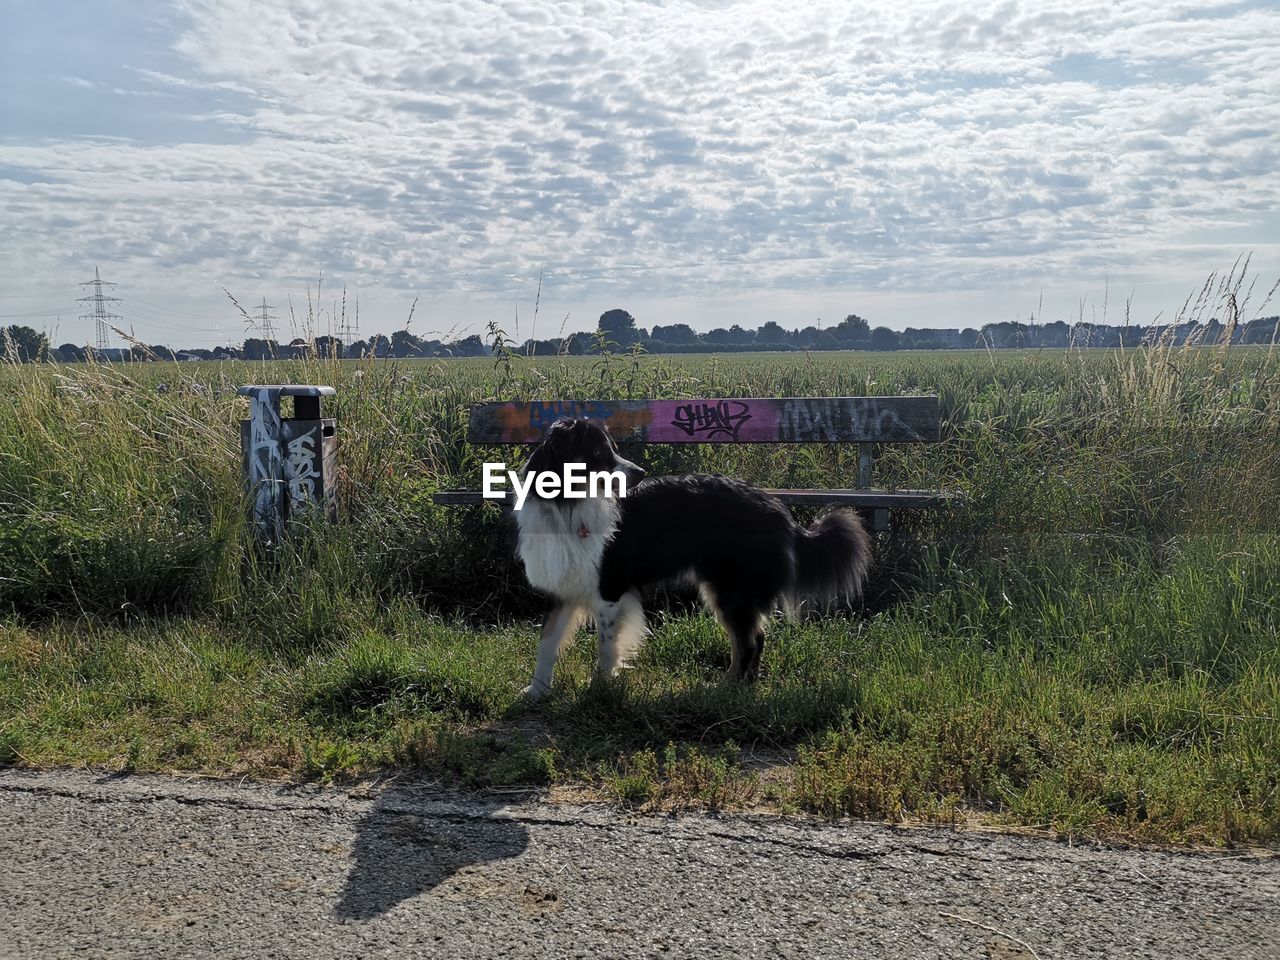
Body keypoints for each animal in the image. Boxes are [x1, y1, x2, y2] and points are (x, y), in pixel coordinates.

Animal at [512, 419, 870, 701]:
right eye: (598, 453)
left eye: (611, 448)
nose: (640, 473)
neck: (567, 505)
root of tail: (779, 510)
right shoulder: (561, 589)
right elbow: (547, 642)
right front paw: (536, 691)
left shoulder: (609, 590)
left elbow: (606, 646)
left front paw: (599, 688)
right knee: (750, 638)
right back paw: (737, 685)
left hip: (731, 589)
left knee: (749, 640)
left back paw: (728, 689)